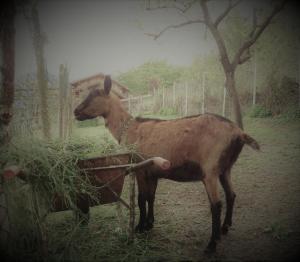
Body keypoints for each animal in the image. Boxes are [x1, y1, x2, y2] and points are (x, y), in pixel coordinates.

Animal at [74, 75, 258, 254]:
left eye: (94, 95)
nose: (75, 111)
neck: (131, 129)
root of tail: (238, 132)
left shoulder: (140, 169)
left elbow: (141, 198)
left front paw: (140, 227)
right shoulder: (153, 172)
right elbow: (151, 197)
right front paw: (150, 224)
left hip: (210, 170)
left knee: (216, 205)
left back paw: (212, 244)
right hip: (225, 168)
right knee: (231, 194)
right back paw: (225, 228)